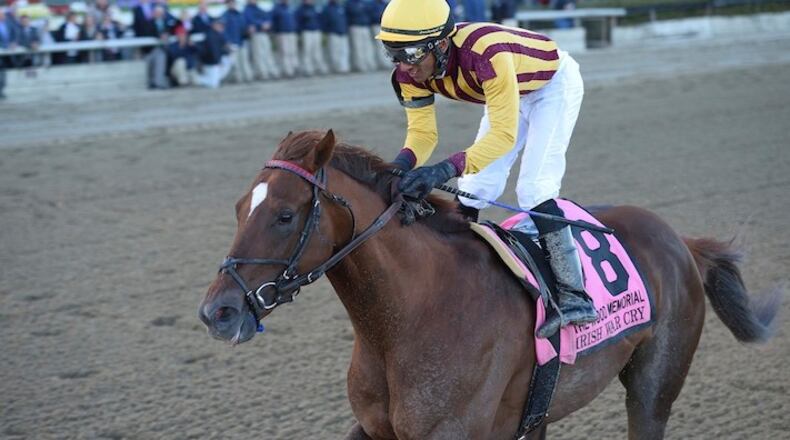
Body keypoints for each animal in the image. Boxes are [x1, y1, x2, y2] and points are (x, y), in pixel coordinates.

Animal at [198, 130, 781, 439]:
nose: (217, 312)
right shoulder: (375, 428)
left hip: (654, 386)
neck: (405, 321)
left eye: (284, 215)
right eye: (238, 208)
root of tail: (679, 239)